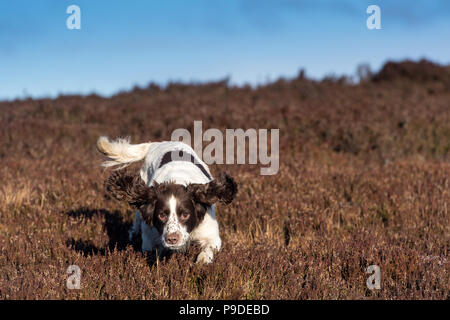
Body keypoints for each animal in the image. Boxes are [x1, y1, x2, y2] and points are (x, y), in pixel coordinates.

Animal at [96, 136, 237, 264]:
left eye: (185, 214)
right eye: (161, 215)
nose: (172, 239)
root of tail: (157, 143)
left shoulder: (210, 234)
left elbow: (208, 249)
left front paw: (202, 260)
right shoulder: (150, 239)